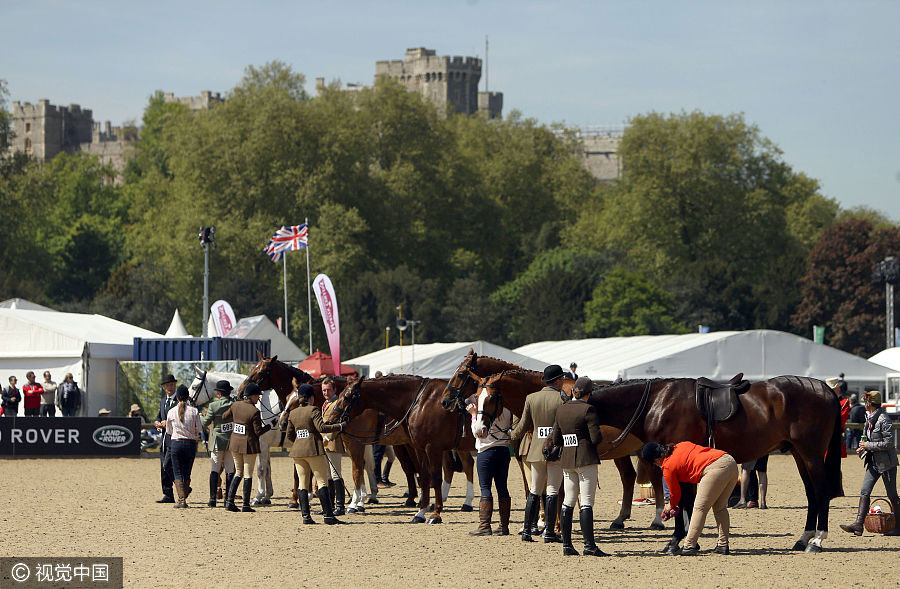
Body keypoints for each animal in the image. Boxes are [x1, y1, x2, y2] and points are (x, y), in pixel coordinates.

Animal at [442, 350, 668, 528]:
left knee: (656, 478)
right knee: (628, 477)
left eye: (460, 374)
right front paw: (540, 522)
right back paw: (620, 519)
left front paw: (547, 524)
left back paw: (657, 519)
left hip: (644, 449)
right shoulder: (527, 457)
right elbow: (535, 489)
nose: (445, 401)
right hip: (620, 451)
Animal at [576, 376, 844, 552]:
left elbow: (683, 501)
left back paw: (817, 540)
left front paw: (675, 541)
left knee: (821, 492)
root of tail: (825, 389)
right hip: (799, 454)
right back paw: (803, 538)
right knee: (811, 493)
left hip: (811, 454)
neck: (656, 402)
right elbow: (686, 502)